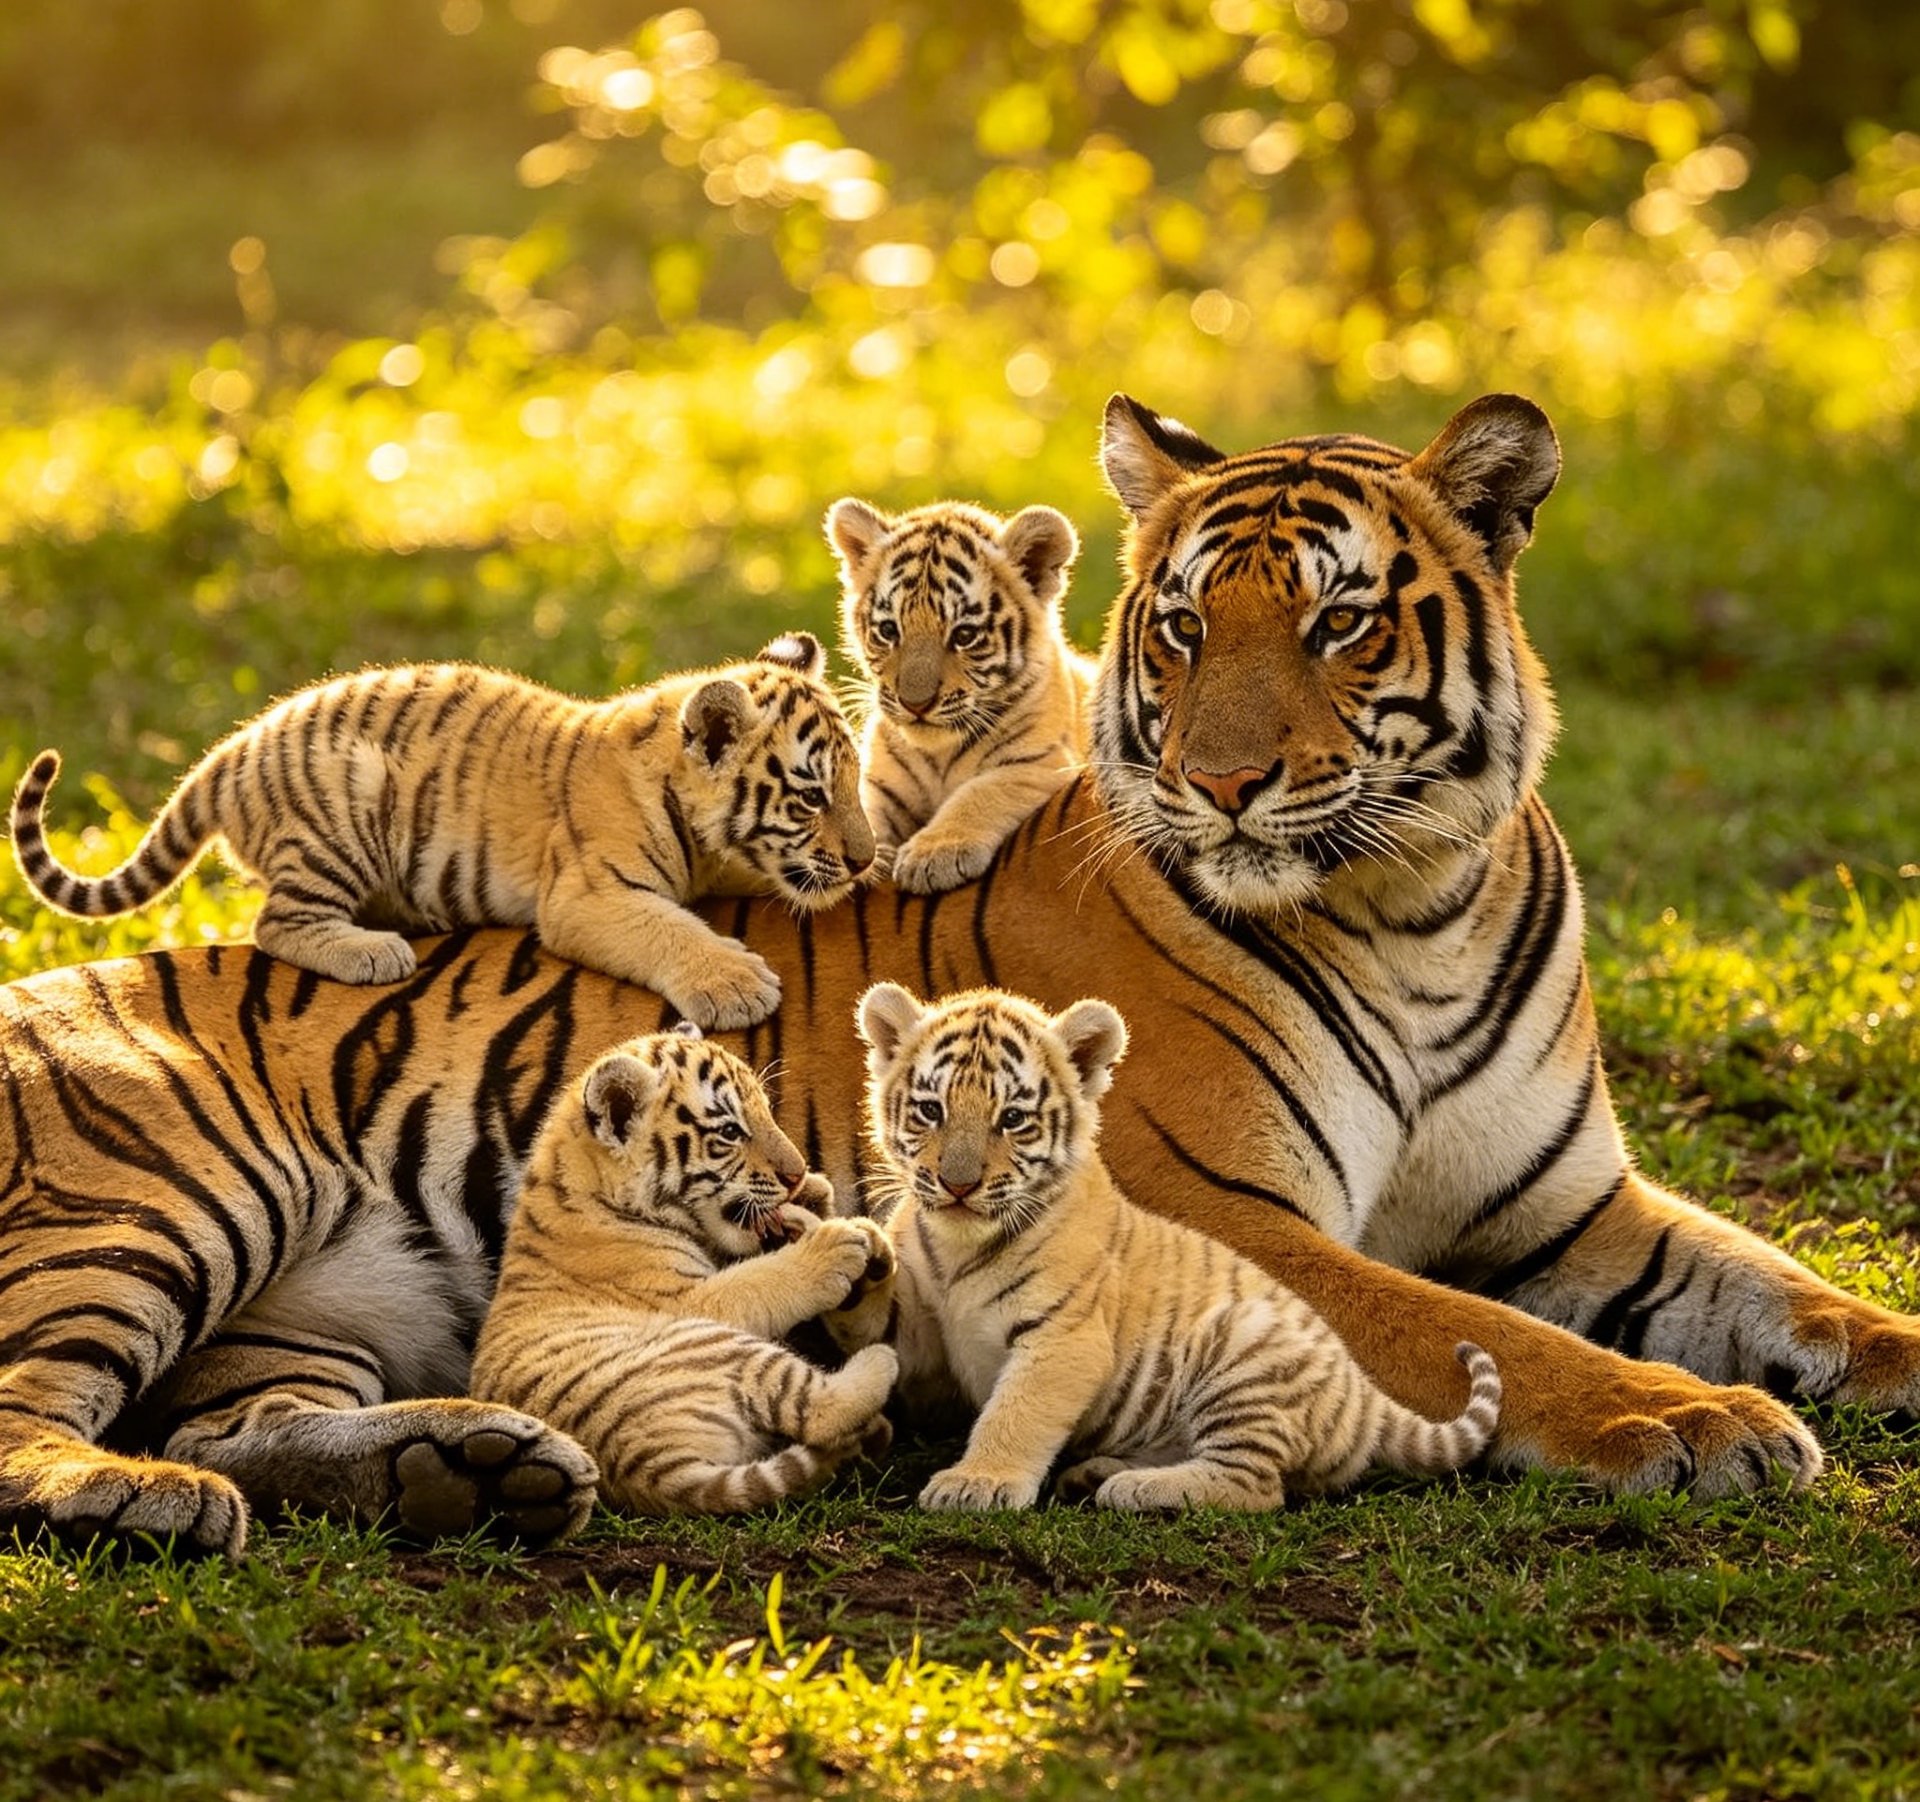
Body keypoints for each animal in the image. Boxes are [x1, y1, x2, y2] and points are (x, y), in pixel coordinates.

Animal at [9, 631, 873, 1030]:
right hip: (347, 809)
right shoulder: (589, 895)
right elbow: (667, 929)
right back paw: (370, 951)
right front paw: (736, 985)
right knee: (276, 923)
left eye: (854, 783)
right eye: (810, 795)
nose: (865, 861)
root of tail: (230, 751)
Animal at [470, 1029, 896, 1516]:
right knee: (818, 1409)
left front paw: (824, 1209)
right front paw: (836, 1244)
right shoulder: (691, 1298)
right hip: (716, 1343)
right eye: (730, 1131)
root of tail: (643, 1466)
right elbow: (759, 1278)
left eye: (767, 1112)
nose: (797, 1173)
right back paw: (880, 1363)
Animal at [828, 497, 1094, 893]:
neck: (938, 753)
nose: (915, 704)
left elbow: (982, 792)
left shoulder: (1042, 763)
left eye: (964, 635)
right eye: (889, 630)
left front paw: (934, 855)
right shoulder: (879, 782)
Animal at [843, 982, 1501, 1511]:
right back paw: (1096, 1474)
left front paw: (979, 1482)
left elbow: (1016, 1414)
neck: (958, 1243)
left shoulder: (1063, 1338)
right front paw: (852, 1253)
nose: (958, 1184)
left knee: (1256, 1487)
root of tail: (1362, 1394)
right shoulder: (924, 1335)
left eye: (1012, 1120)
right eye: (931, 1111)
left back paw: (1134, 1489)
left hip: (1244, 1360)